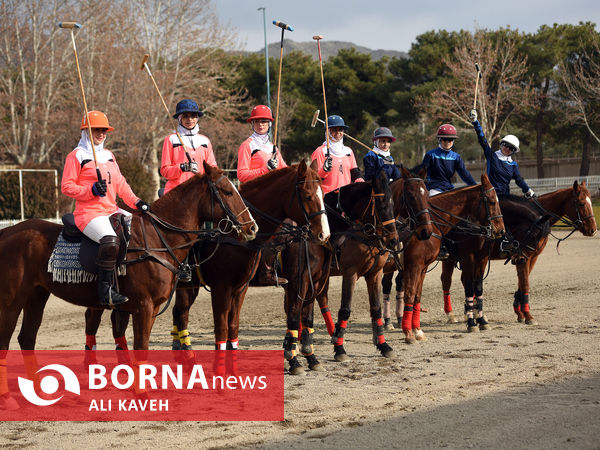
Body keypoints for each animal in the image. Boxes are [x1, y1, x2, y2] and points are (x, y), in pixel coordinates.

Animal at [0, 163, 255, 356]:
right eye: (227, 191)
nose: (252, 227)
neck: (157, 238)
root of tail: (6, 232)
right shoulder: (143, 307)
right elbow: (140, 347)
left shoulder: (151, 308)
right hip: (12, 301)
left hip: (37, 295)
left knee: (27, 338)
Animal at [82, 162, 330, 356]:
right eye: (308, 196)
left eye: (322, 194)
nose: (323, 234)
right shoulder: (223, 288)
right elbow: (224, 329)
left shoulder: (241, 289)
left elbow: (235, 327)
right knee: (93, 319)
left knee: (176, 314)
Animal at [278, 167, 434, 370]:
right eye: (411, 196)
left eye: (426, 195)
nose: (426, 231)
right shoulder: (350, 273)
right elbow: (345, 309)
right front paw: (340, 350)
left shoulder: (375, 274)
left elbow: (376, 308)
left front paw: (383, 345)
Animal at [382, 174, 504, 342]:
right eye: (492, 201)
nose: (501, 230)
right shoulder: (468, 257)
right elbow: (469, 285)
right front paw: (472, 322)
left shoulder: (482, 258)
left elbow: (477, 287)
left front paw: (481, 319)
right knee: (387, 285)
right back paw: (388, 321)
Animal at [438, 179, 596, 326]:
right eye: (581, 203)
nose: (593, 230)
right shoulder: (522, 257)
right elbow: (525, 283)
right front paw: (528, 315)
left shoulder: (531, 257)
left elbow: (522, 283)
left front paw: (519, 312)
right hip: (454, 258)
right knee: (447, 281)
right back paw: (452, 314)